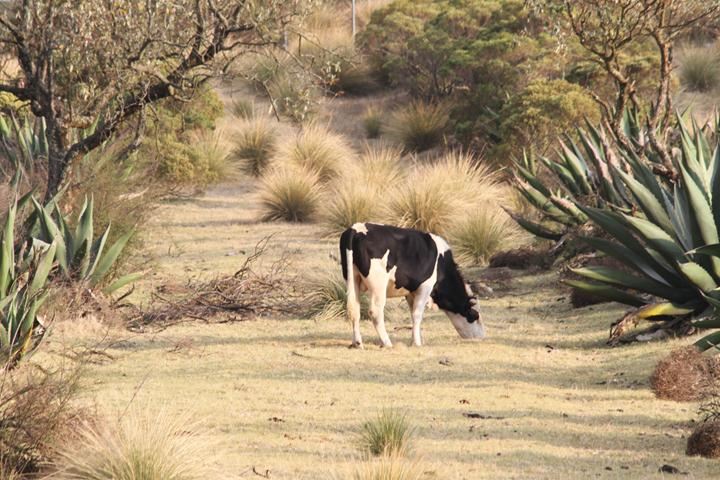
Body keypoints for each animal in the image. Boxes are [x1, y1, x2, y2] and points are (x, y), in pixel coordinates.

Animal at [338, 223, 484, 346]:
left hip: (353, 279)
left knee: (354, 309)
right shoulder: (425, 287)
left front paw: (416, 338)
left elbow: (412, 313)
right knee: (375, 312)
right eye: (475, 315)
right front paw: (417, 343)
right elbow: (417, 314)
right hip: (378, 285)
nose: (482, 336)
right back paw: (387, 343)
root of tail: (355, 229)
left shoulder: (411, 291)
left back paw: (357, 343)